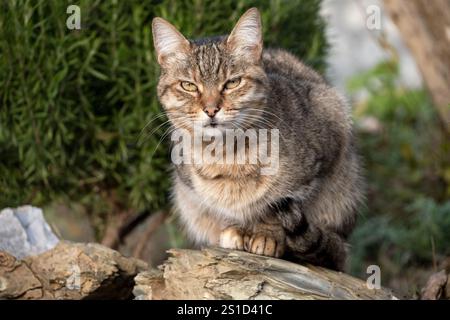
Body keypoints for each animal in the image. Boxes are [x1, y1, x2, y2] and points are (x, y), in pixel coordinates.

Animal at [153, 7, 364, 270]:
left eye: (232, 83)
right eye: (189, 86)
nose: (211, 109)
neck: (225, 154)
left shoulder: (315, 166)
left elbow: (274, 210)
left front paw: (266, 235)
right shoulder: (194, 191)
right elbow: (226, 209)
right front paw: (236, 230)